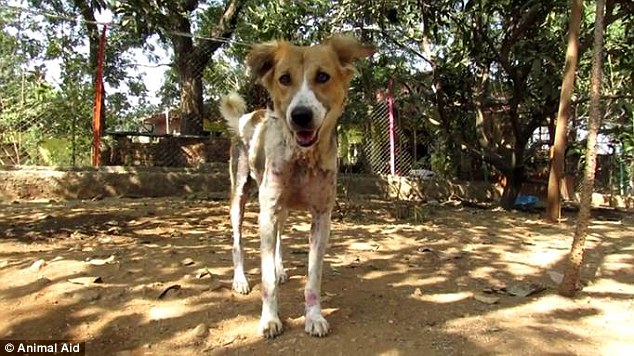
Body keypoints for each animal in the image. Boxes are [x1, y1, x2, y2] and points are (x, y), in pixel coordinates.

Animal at [220, 34, 372, 338]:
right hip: (240, 198)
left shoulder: (321, 217)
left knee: (278, 238)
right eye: (284, 78)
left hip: (283, 210)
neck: (303, 158)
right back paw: (240, 280)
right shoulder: (266, 213)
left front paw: (314, 317)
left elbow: (313, 276)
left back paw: (279, 268)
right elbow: (266, 280)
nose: (300, 115)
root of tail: (247, 117)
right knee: (237, 243)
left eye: (323, 76)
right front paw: (269, 320)